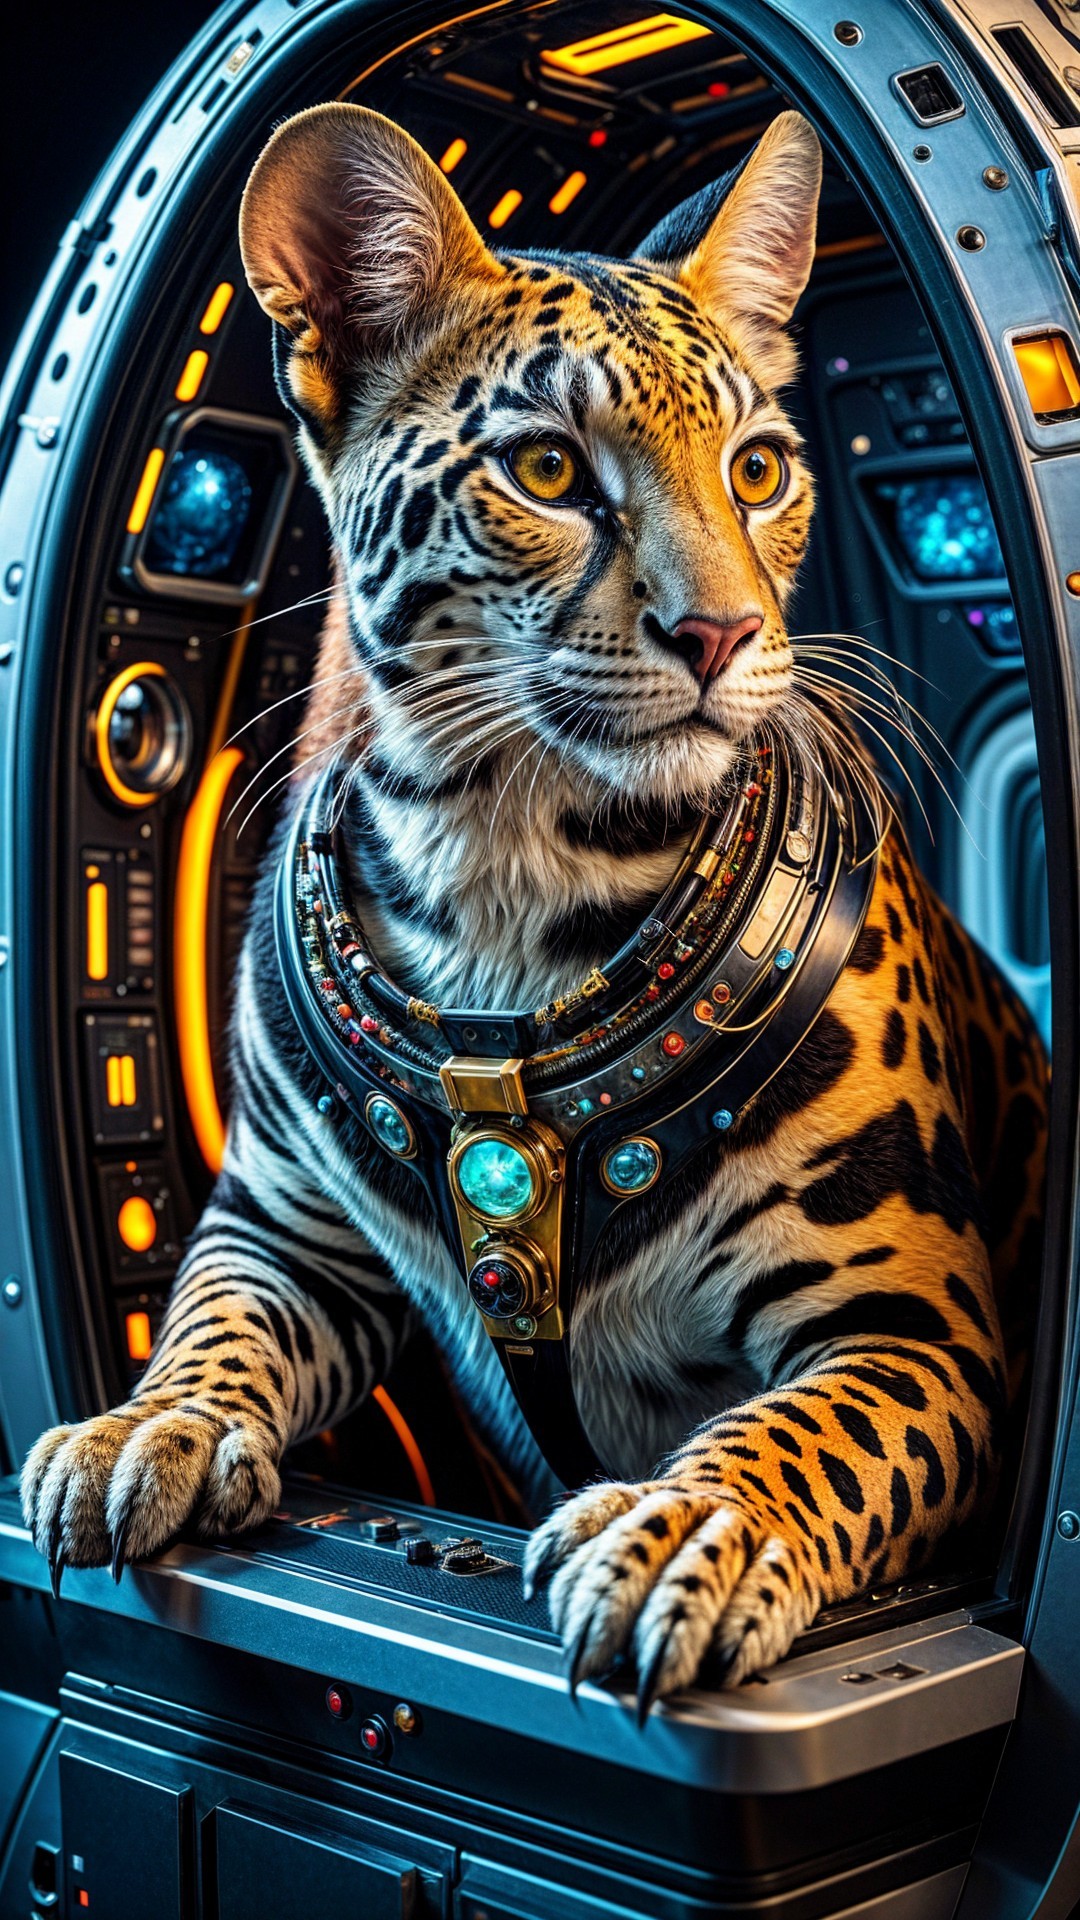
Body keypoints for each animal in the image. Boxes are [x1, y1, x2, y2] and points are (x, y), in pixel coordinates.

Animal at [22, 103, 1048, 1712]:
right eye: (550, 470)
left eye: (761, 468)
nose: (722, 633)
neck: (509, 871)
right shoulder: (280, 1222)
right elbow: (212, 1321)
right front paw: (148, 1426)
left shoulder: (912, 1318)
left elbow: (799, 1433)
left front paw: (690, 1531)